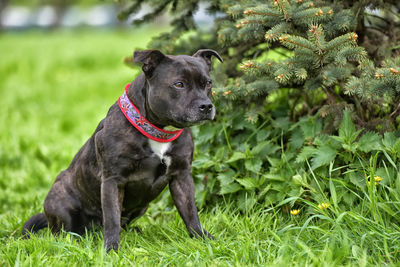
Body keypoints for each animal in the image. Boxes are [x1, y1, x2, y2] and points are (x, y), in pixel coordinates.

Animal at [21, 48, 223, 251]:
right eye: (179, 84)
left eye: (208, 83)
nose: (206, 106)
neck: (158, 131)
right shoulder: (113, 180)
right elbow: (112, 219)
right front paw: (111, 249)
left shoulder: (181, 176)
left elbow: (190, 212)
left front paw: (203, 238)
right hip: (60, 203)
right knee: (64, 232)